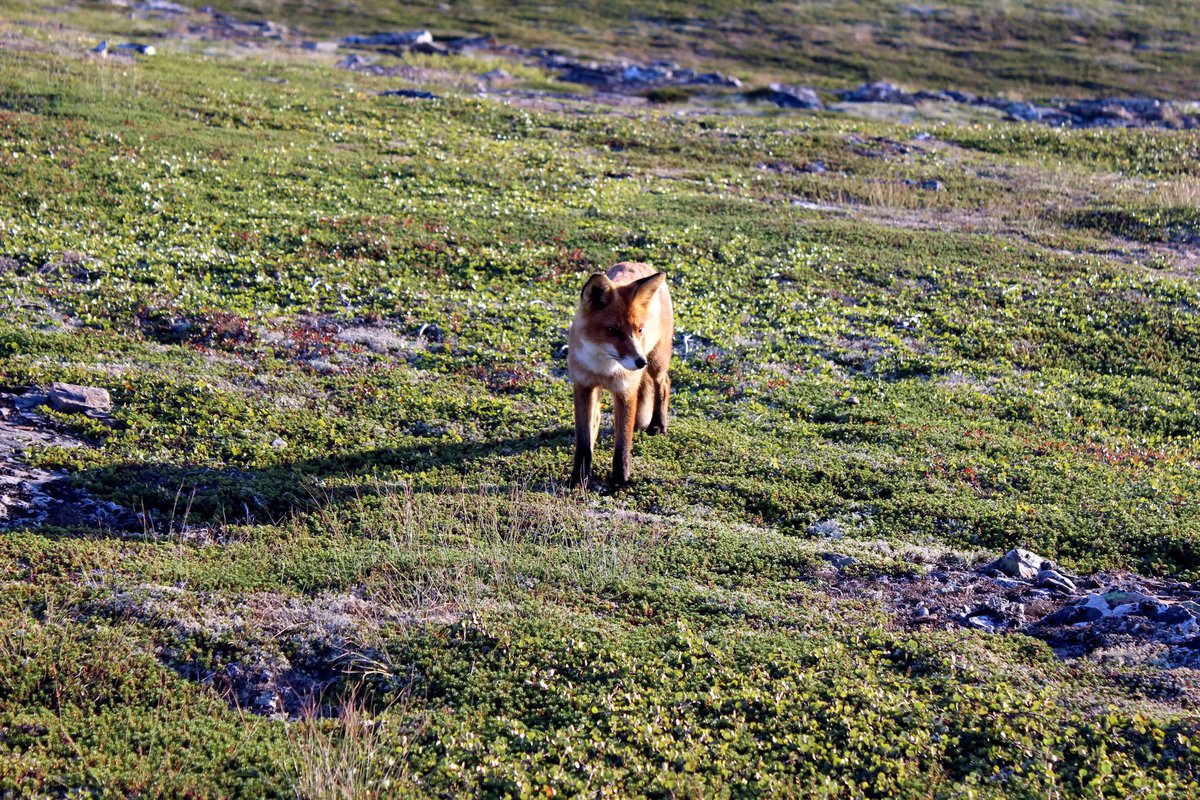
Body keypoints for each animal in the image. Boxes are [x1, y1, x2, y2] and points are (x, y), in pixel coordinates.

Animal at [566, 262, 672, 489]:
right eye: (612, 330)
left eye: (639, 329)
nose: (640, 362)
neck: (603, 367)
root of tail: (640, 263)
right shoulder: (583, 386)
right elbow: (584, 440)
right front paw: (579, 478)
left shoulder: (625, 391)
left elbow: (622, 443)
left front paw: (619, 480)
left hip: (657, 362)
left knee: (664, 384)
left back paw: (658, 424)